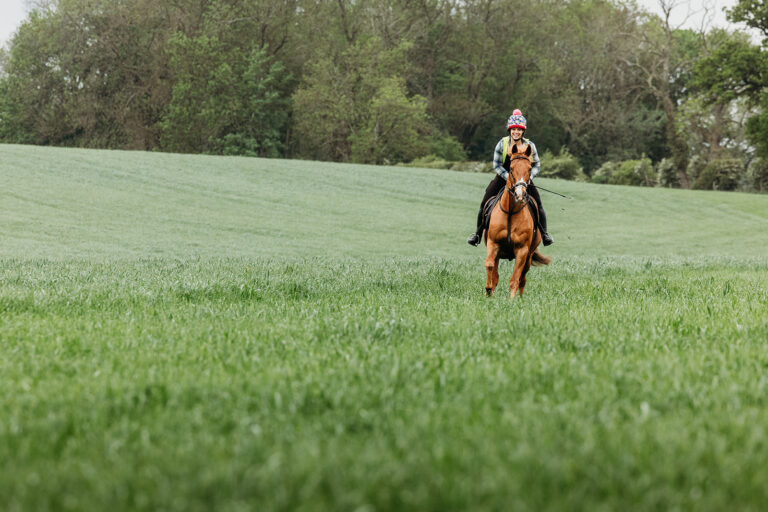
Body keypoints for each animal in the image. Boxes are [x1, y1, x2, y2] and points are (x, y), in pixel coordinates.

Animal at [483, 142, 550, 298]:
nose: (520, 194)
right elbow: (489, 265)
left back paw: (520, 298)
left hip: (529, 255)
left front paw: (512, 300)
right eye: (511, 168)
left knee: (523, 278)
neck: (510, 212)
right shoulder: (493, 243)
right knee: (496, 274)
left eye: (529, 168)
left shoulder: (522, 250)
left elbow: (515, 279)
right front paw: (488, 291)